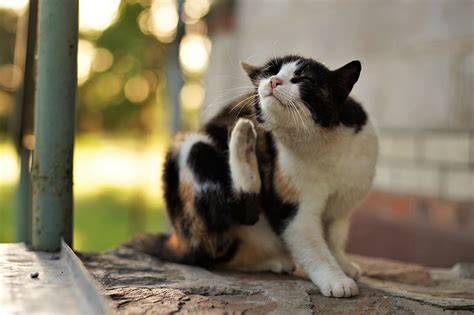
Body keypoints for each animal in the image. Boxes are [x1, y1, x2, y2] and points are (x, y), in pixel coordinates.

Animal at [131, 55, 380, 298]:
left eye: (303, 78)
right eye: (271, 72)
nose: (274, 81)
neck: (320, 143)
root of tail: (179, 241)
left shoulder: (342, 207)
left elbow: (335, 239)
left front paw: (343, 264)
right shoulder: (290, 208)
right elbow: (314, 248)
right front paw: (336, 280)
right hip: (191, 147)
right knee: (231, 220)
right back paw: (242, 140)